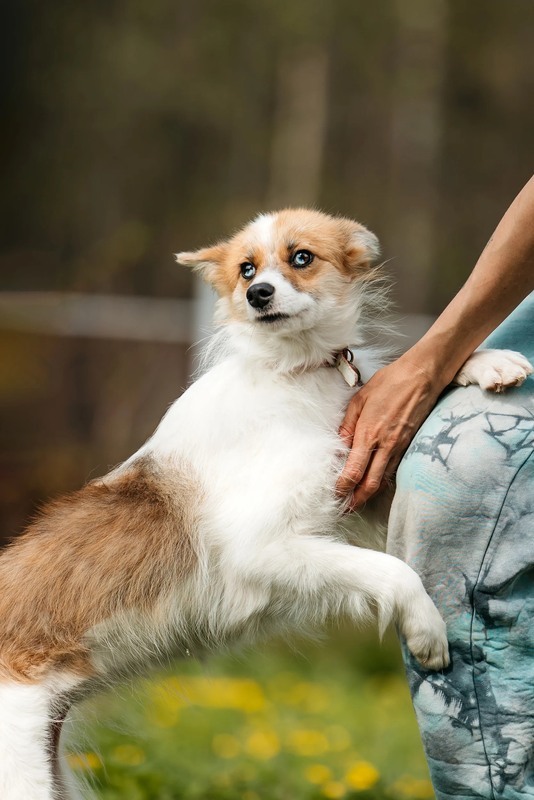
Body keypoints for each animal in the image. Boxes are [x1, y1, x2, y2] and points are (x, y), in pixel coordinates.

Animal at [0, 208, 532, 800]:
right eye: (246, 269)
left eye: (301, 257)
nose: (258, 294)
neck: (293, 373)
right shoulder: (263, 548)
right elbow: (391, 571)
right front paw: (426, 629)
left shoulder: (363, 474)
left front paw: (485, 363)